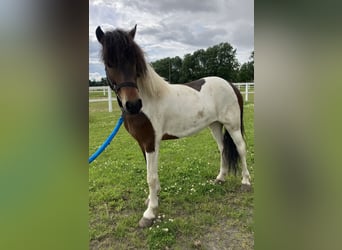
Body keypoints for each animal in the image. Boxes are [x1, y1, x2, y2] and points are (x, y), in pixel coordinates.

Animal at [95, 24, 250, 228]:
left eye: (134, 62)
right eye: (109, 63)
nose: (133, 104)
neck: (148, 100)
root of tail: (231, 84)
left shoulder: (150, 143)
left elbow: (151, 177)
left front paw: (150, 213)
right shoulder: (143, 144)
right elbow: (150, 173)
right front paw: (152, 199)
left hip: (232, 126)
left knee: (240, 148)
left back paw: (246, 182)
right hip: (215, 125)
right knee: (223, 149)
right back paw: (220, 178)